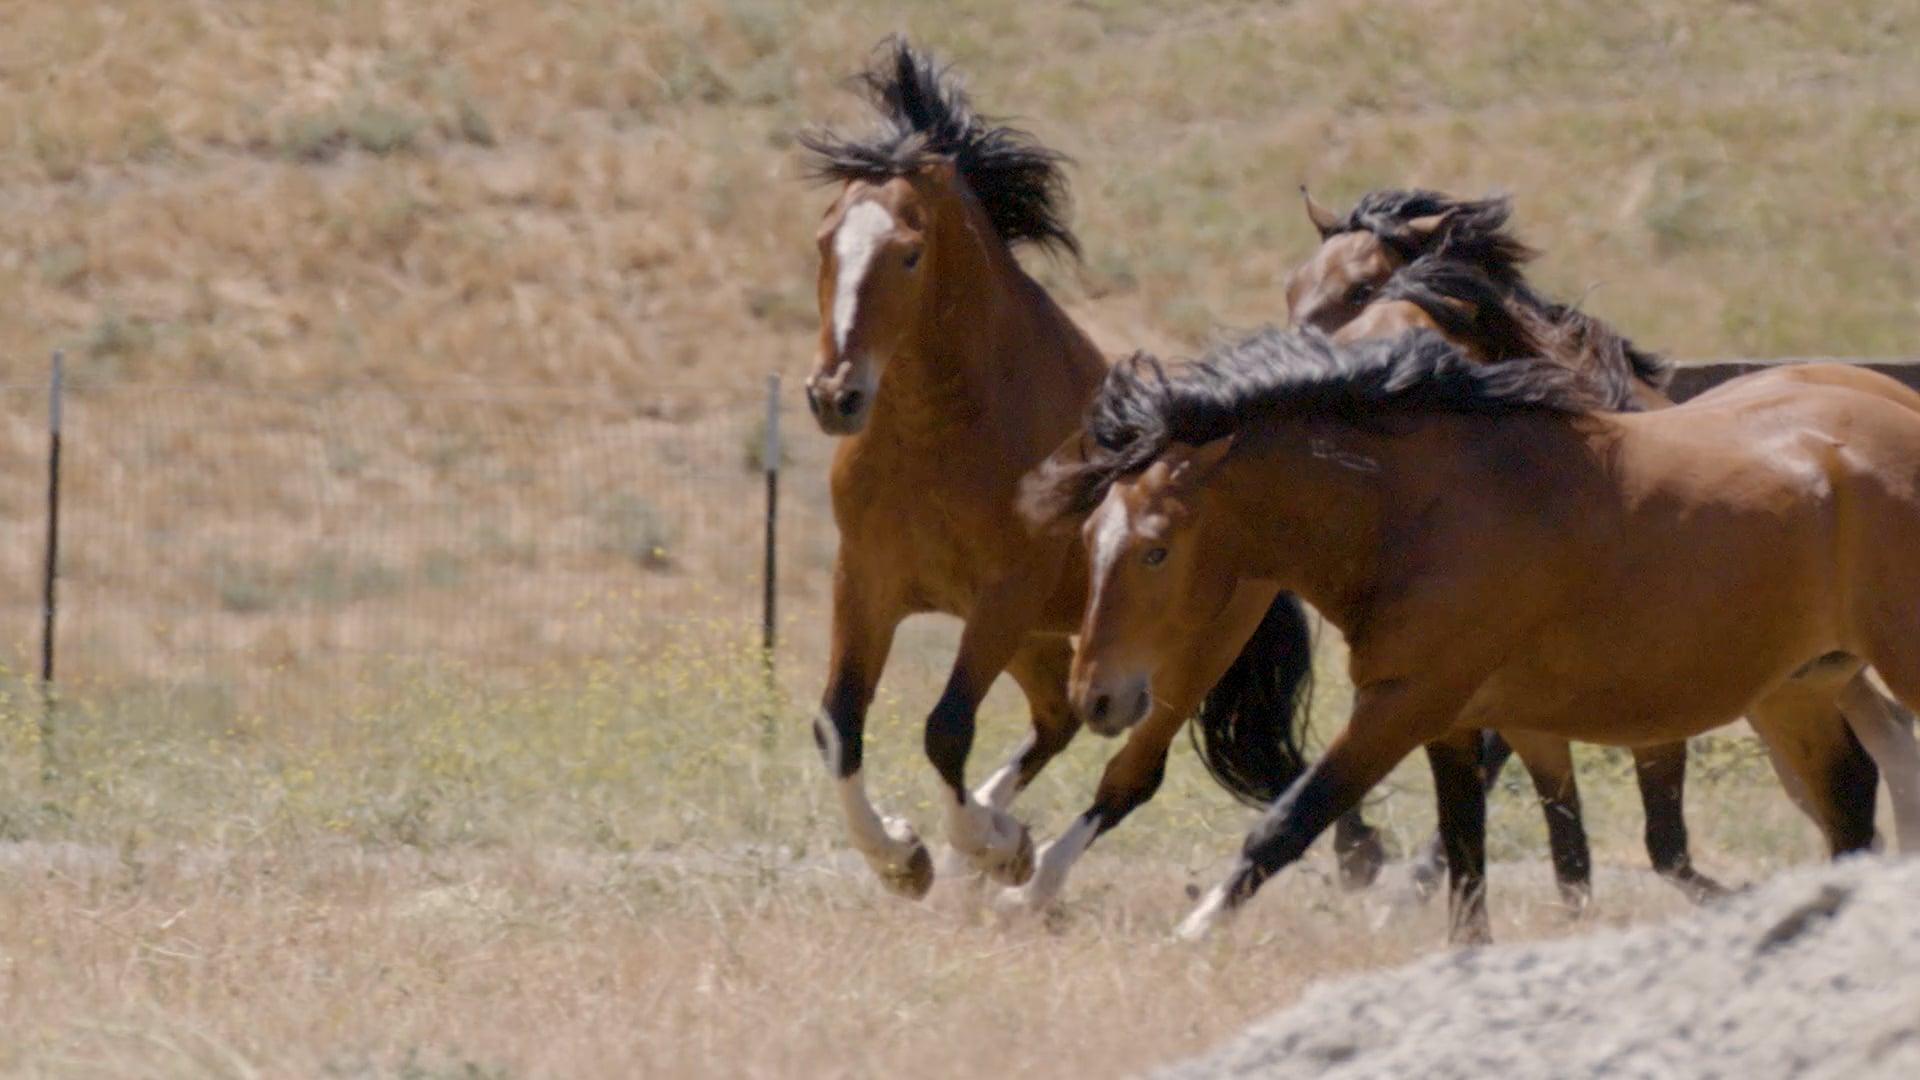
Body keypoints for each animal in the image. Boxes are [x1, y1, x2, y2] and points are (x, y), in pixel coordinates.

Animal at [794, 37, 1320, 903]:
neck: (940, 437)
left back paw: (1029, 878)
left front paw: (978, 846)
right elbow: (839, 724)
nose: (835, 395)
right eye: (823, 242)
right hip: (1050, 641)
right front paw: (904, 857)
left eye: (908, 253)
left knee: (1129, 771)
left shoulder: (1005, 595)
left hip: (1181, 655)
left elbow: (946, 729)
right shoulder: (866, 578)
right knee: (1057, 719)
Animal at [1029, 330, 1920, 941]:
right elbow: (1469, 870)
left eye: (1155, 548)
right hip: (1804, 684)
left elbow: (1289, 821)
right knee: (1849, 806)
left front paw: (1192, 933)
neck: (1423, 511)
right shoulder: (1455, 724)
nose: (1095, 697)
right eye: (1091, 538)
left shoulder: (1402, 706)